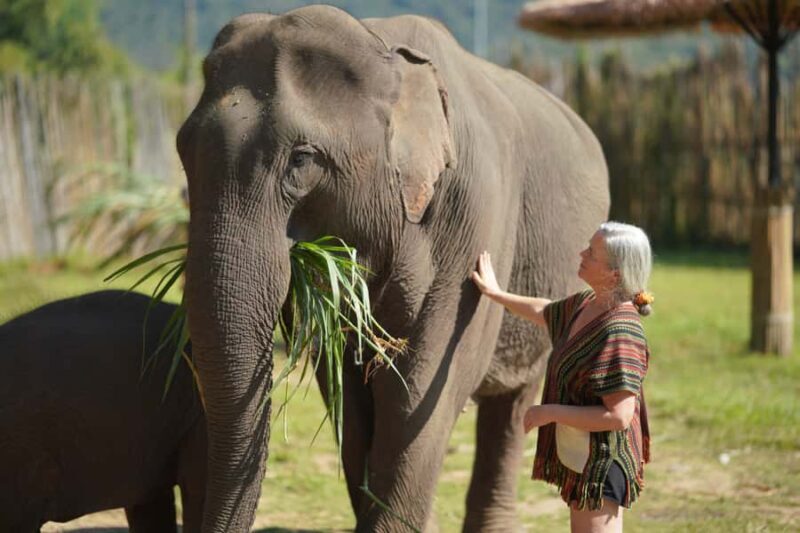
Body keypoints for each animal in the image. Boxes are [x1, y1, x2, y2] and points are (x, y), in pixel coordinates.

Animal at [177, 5, 608, 532]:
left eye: (302, 159)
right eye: (181, 150)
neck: (385, 50)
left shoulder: (476, 214)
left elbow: (422, 387)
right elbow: (350, 392)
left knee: (515, 405)